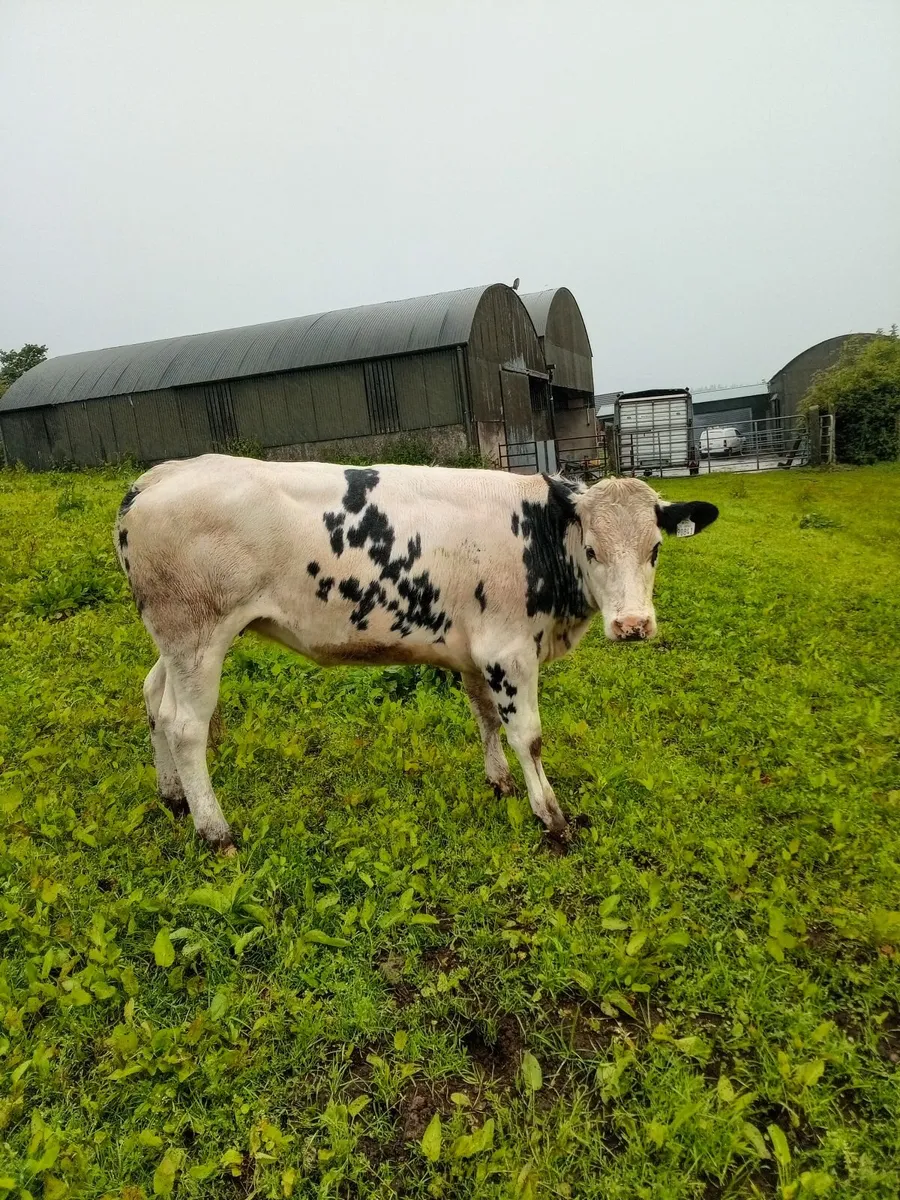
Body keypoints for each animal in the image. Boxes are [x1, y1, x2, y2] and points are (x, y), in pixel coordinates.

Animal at [114, 455, 718, 854]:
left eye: (655, 549)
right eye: (591, 549)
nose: (633, 625)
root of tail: (156, 477)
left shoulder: (476, 651)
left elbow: (485, 719)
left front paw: (498, 782)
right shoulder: (508, 651)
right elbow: (528, 736)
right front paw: (551, 816)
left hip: (176, 639)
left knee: (153, 700)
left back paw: (173, 796)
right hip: (198, 634)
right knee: (186, 726)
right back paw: (215, 830)